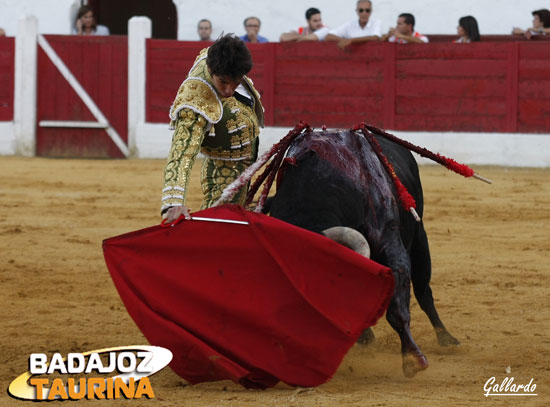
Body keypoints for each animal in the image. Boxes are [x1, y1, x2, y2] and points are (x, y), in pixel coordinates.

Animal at [266, 128, 462, 380]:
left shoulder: (391, 245)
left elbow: (397, 309)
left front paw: (413, 359)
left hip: (420, 238)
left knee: (423, 291)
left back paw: (447, 339)